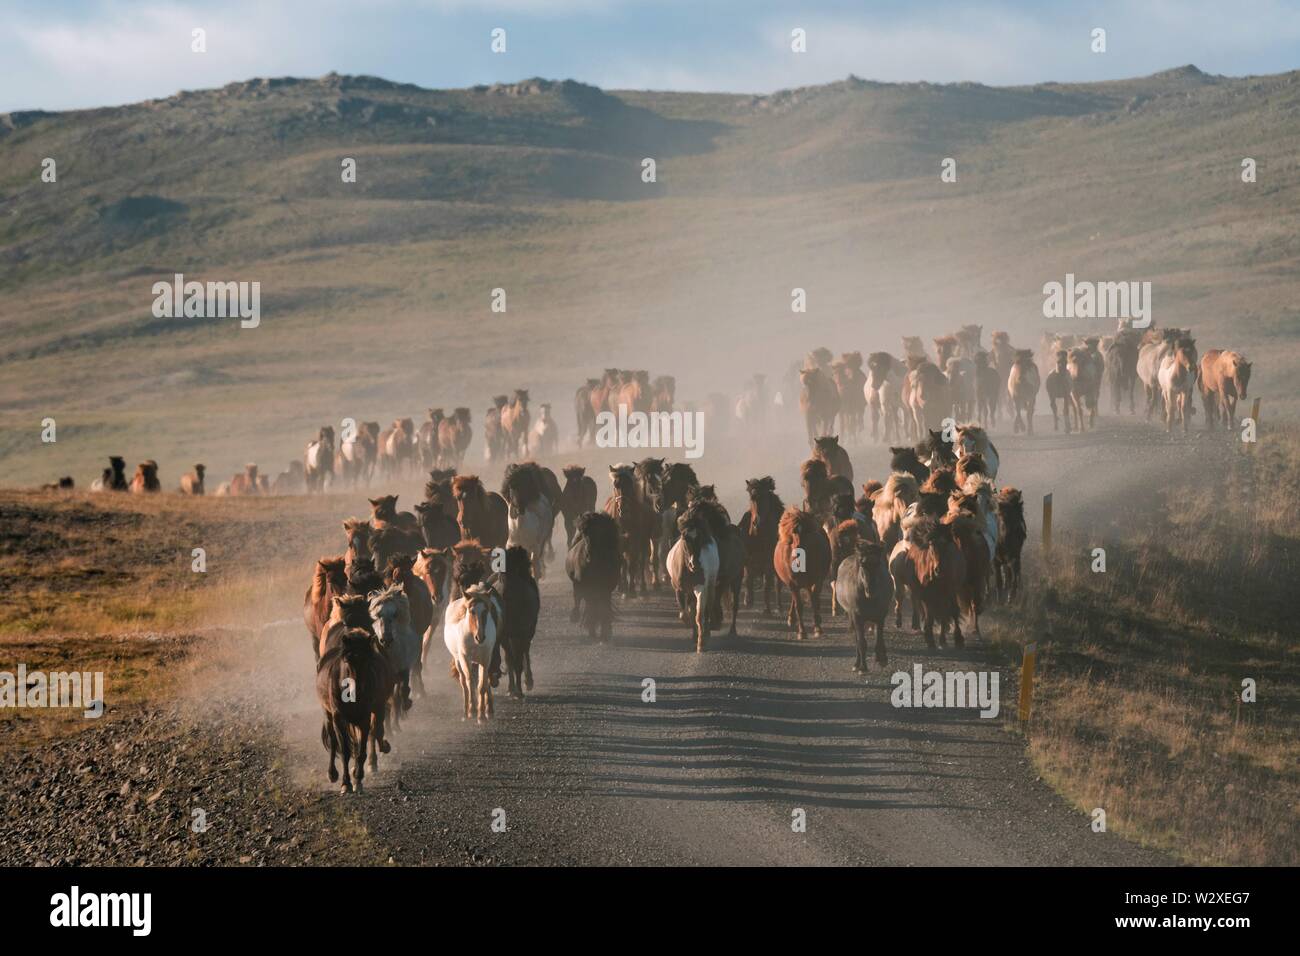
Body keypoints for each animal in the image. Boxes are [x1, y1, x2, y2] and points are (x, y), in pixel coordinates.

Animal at [769, 509, 832, 642]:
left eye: (807, 534)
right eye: (793, 533)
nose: (798, 553)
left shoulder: (817, 580)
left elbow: (814, 601)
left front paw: (817, 628)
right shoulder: (792, 583)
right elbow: (799, 606)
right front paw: (802, 632)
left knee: (812, 597)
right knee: (797, 598)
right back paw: (791, 618)